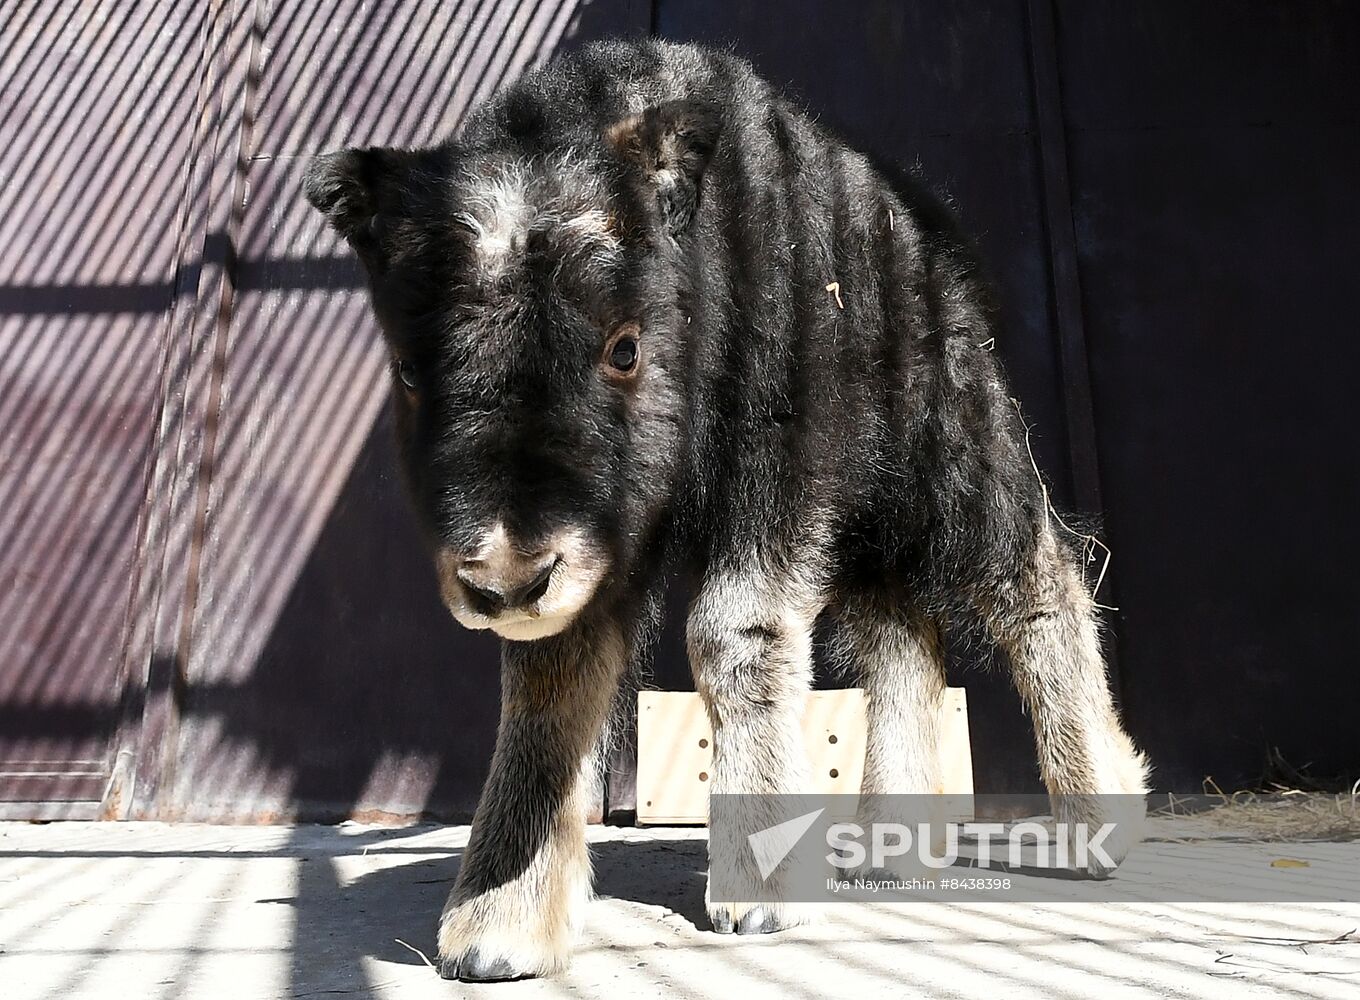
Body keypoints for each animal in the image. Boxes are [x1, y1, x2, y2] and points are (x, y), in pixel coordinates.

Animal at [306, 37, 1147, 979]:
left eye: (623, 348)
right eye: (410, 373)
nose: (506, 579)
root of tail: (928, 226)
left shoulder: (774, 478)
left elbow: (731, 632)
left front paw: (763, 890)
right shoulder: (602, 558)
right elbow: (549, 681)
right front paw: (501, 924)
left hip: (960, 460)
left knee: (1037, 582)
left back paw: (1100, 816)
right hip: (867, 529)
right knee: (904, 638)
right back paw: (888, 845)